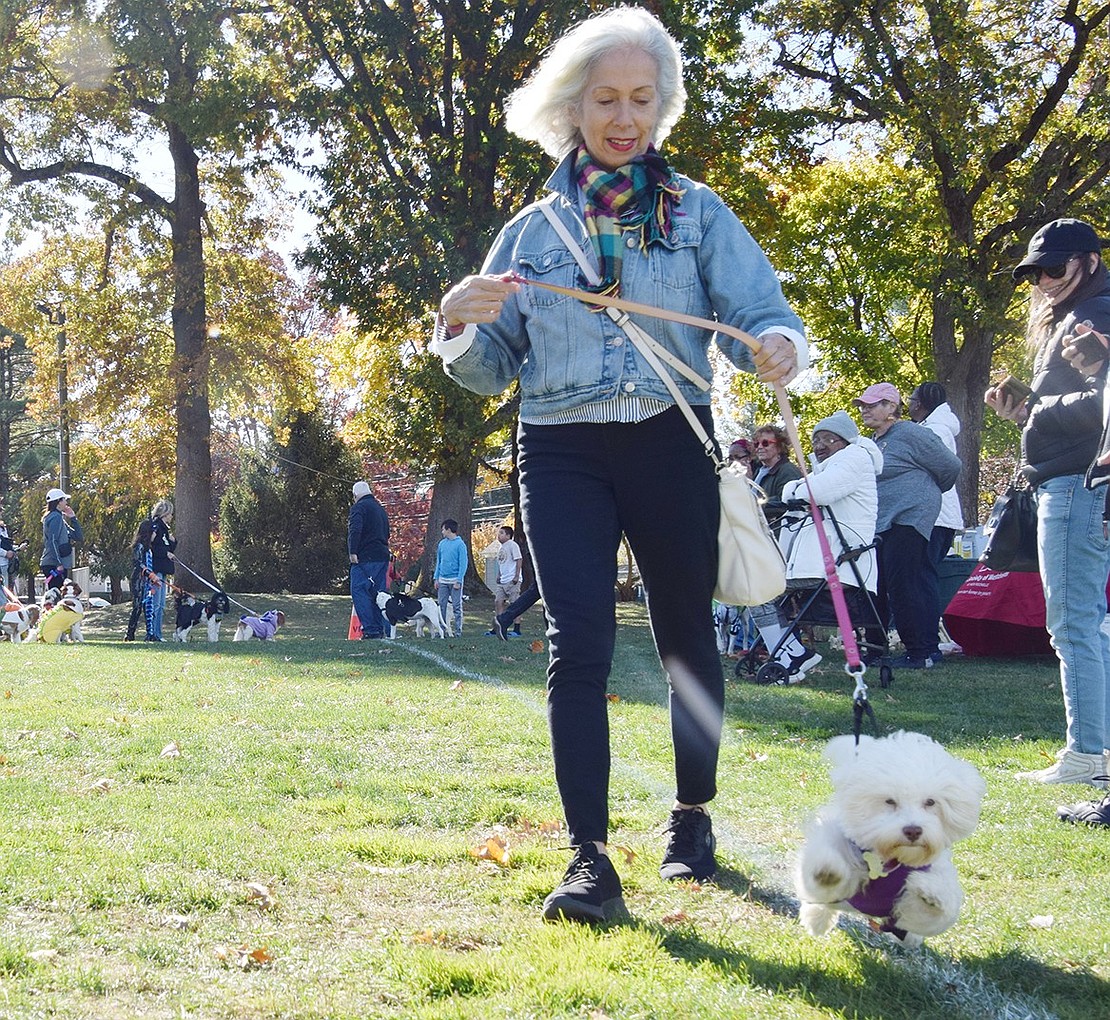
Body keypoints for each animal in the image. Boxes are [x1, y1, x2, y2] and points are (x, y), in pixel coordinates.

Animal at [794, 728, 985, 945]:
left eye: (930, 802)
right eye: (890, 801)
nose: (913, 830)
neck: (888, 861)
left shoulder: (913, 912)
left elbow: (933, 911)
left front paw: (930, 891)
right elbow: (825, 870)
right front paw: (828, 871)